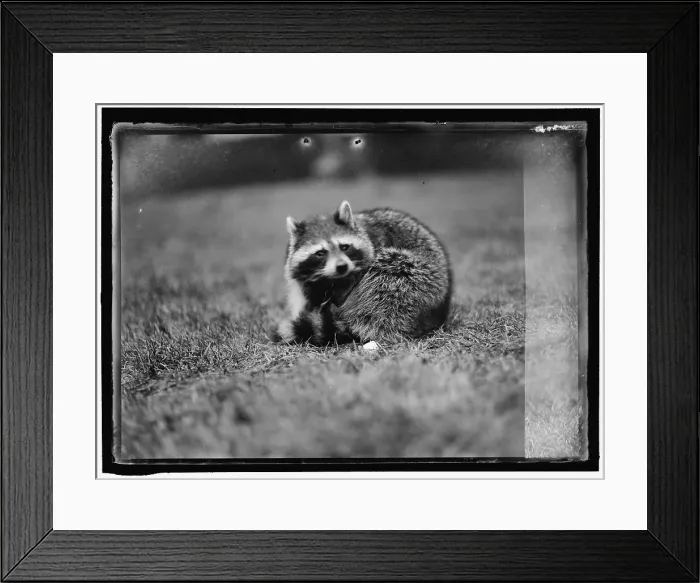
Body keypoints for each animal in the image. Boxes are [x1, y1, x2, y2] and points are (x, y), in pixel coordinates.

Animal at [273, 200, 452, 345]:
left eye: (344, 246)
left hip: (419, 276)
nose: (342, 266)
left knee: (389, 276)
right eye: (320, 253)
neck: (332, 279)